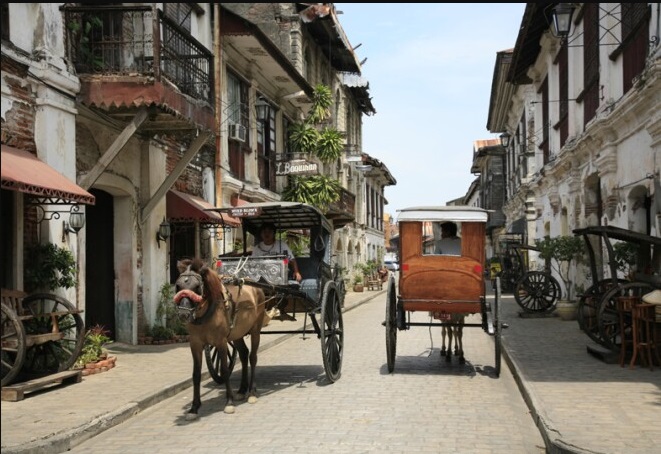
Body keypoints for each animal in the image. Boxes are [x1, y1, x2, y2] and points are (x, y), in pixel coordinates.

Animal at [175, 258, 268, 420]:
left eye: (196, 287)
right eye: (178, 286)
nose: (183, 315)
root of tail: (255, 286)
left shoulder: (221, 342)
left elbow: (224, 371)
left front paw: (229, 402)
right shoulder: (195, 344)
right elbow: (196, 374)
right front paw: (194, 408)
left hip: (256, 330)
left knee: (253, 357)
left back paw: (252, 392)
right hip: (237, 334)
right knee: (244, 354)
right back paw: (242, 390)